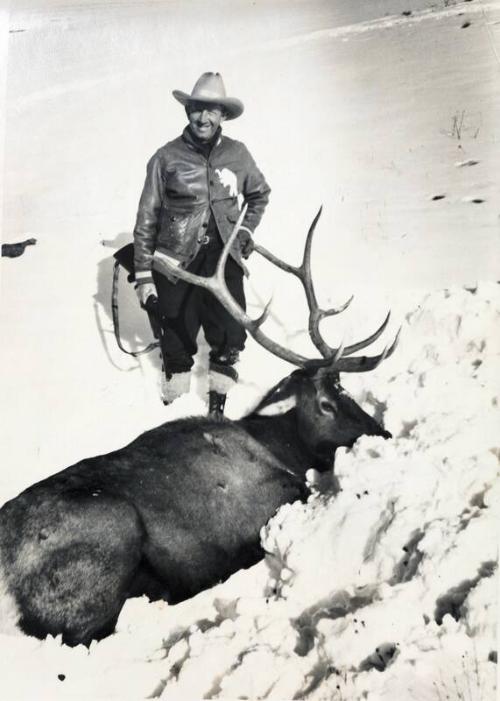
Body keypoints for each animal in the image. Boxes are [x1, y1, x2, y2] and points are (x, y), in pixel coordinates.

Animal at [0, 208, 398, 644]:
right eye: (326, 404)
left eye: (346, 389)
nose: (384, 433)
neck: (279, 447)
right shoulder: (275, 494)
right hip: (110, 531)